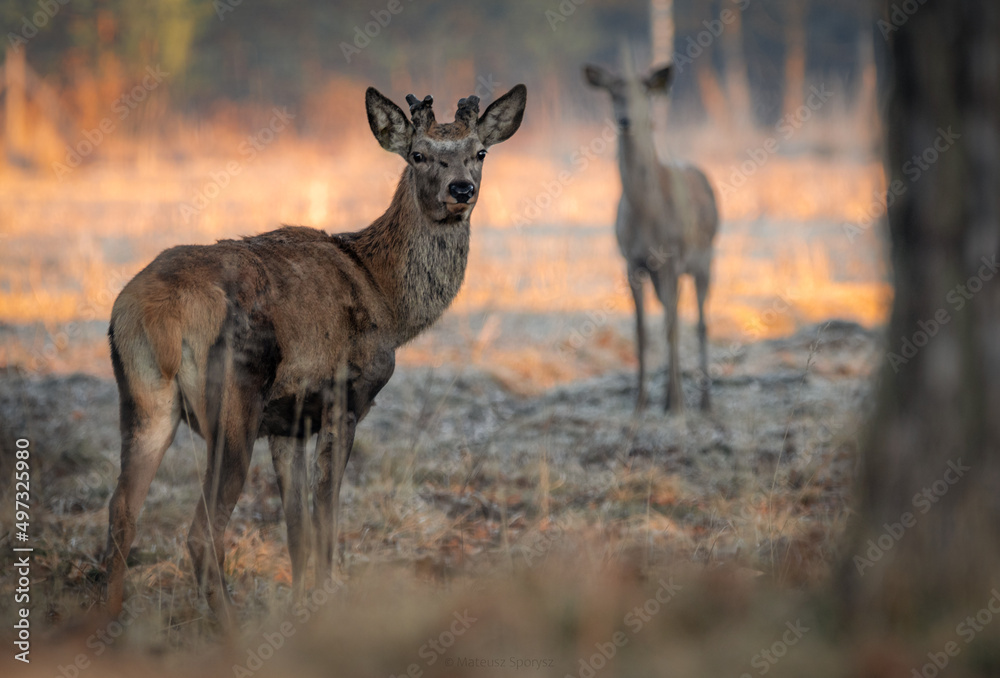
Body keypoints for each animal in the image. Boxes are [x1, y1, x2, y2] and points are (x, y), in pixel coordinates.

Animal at [102, 82, 528, 624]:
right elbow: (326, 517)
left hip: (143, 398)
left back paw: (108, 619)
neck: (387, 299)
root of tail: (156, 311)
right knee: (201, 532)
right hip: (233, 401)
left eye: (480, 152)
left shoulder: (287, 423)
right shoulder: (344, 399)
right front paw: (326, 605)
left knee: (122, 510)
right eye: (418, 154)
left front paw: (300, 607)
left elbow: (297, 530)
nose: (460, 190)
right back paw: (229, 627)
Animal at [584, 55, 720, 412]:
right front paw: (641, 401)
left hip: (705, 257)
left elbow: (672, 327)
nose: (626, 119)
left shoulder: (671, 256)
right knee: (673, 314)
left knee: (700, 321)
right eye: (614, 92)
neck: (647, 214)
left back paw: (704, 400)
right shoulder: (632, 261)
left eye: (644, 91)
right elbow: (642, 330)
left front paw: (675, 402)